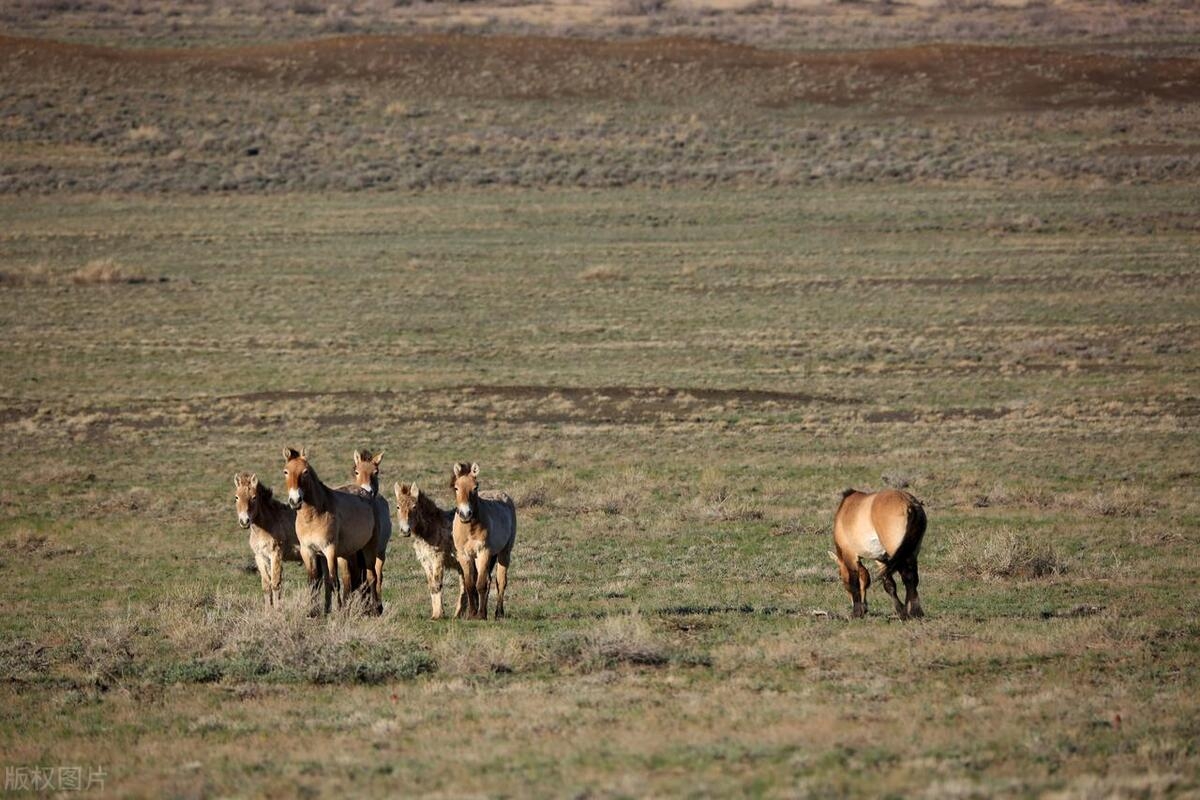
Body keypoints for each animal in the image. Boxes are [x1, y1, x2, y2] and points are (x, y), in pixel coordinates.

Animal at [232, 472, 300, 609]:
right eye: (236, 497)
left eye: (254, 497)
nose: (244, 521)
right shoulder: (260, 556)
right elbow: (266, 585)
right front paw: (268, 611)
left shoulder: (276, 554)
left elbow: (275, 583)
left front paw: (277, 610)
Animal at [280, 448, 379, 618]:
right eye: (286, 471)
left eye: (305, 472)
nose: (295, 500)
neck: (313, 516)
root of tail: (366, 493)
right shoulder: (308, 551)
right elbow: (313, 581)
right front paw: (312, 612)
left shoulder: (330, 550)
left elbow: (334, 581)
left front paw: (338, 611)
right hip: (349, 552)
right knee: (352, 578)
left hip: (368, 548)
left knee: (371, 576)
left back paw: (373, 610)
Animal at [396, 479, 465, 623]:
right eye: (398, 507)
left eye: (414, 507)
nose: (405, 531)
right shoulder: (425, 561)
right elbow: (431, 585)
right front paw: (435, 614)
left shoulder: (437, 558)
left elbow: (437, 584)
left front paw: (439, 615)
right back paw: (459, 614)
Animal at [835, 489, 926, 618]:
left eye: (842, 579)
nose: (865, 609)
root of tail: (908, 502)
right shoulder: (880, 559)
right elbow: (889, 585)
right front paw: (901, 611)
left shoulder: (850, 555)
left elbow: (854, 582)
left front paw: (856, 613)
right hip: (911, 551)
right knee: (912, 578)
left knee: (908, 576)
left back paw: (914, 612)